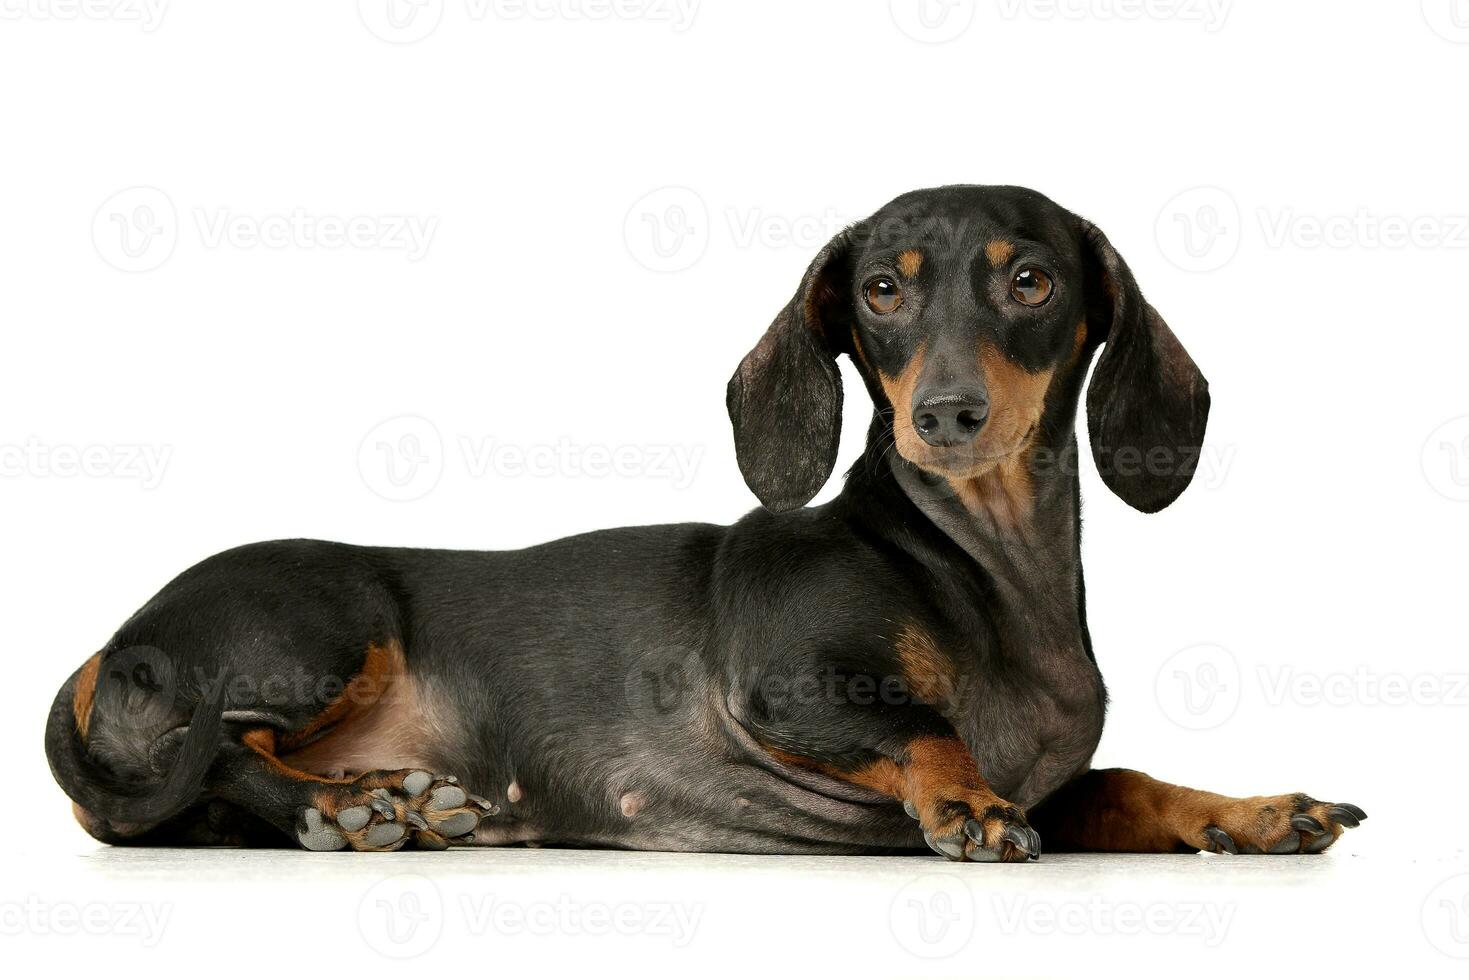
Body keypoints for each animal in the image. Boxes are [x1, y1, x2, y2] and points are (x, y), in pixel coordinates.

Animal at [45, 188, 1363, 863]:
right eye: (880, 289)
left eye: (1030, 280)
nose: (945, 412)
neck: (976, 568)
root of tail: (109, 644)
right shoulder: (785, 683)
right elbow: (925, 725)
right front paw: (965, 801)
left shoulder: (1072, 784)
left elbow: (1133, 779)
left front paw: (1250, 810)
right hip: (325, 625)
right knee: (220, 756)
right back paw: (344, 806)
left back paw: (395, 800)